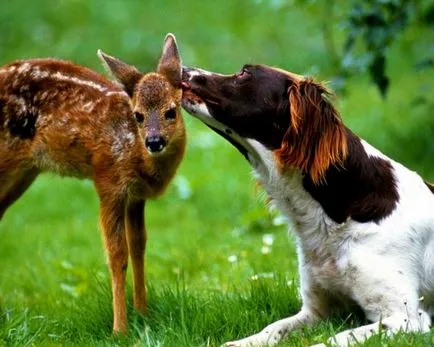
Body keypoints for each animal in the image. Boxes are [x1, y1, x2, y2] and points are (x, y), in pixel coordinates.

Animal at [181, 64, 434, 346]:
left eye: (245, 73)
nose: (183, 68)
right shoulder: (318, 310)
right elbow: (273, 328)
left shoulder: (405, 318)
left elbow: (334, 339)